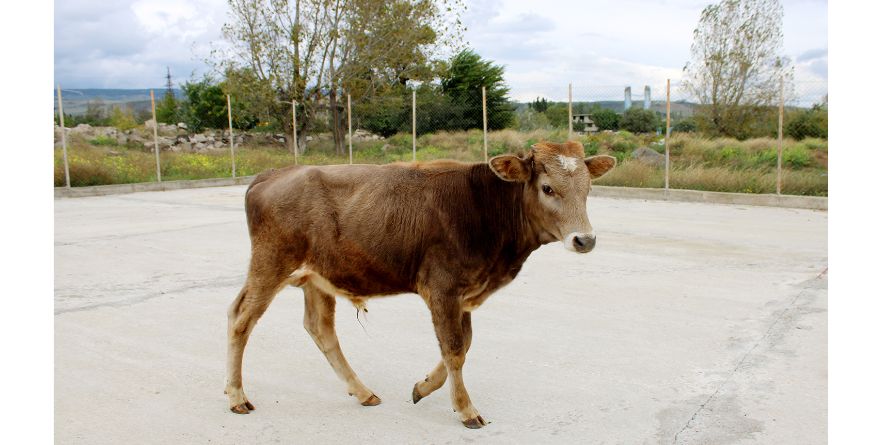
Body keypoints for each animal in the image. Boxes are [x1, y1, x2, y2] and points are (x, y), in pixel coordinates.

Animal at [227, 141, 616, 426]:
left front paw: (422, 387)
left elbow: (463, 345)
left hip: (318, 278)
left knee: (319, 329)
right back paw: (237, 397)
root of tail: (274, 173)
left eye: (588, 188)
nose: (585, 240)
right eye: (547, 188)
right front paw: (466, 409)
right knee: (240, 320)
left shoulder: (464, 292)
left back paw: (363, 392)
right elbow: (455, 348)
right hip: (270, 263)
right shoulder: (442, 287)